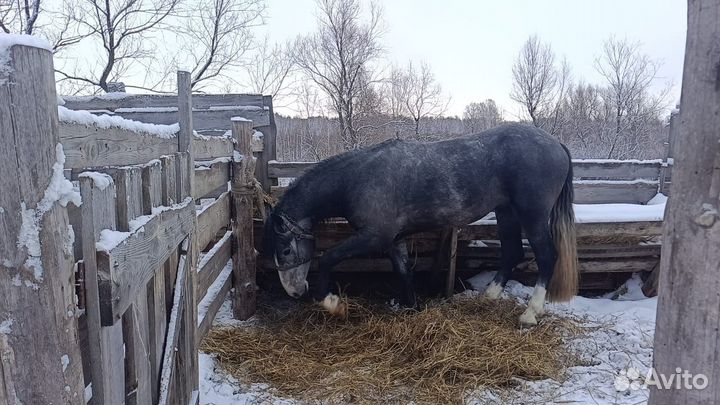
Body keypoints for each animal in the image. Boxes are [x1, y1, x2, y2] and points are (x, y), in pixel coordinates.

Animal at [264, 123, 578, 327]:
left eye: (286, 250)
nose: (294, 292)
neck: (358, 179)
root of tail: (556, 144)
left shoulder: (374, 237)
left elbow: (328, 258)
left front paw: (331, 302)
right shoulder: (394, 239)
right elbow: (403, 270)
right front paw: (411, 307)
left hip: (532, 215)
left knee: (546, 256)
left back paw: (530, 314)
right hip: (506, 212)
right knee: (512, 252)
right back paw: (488, 297)